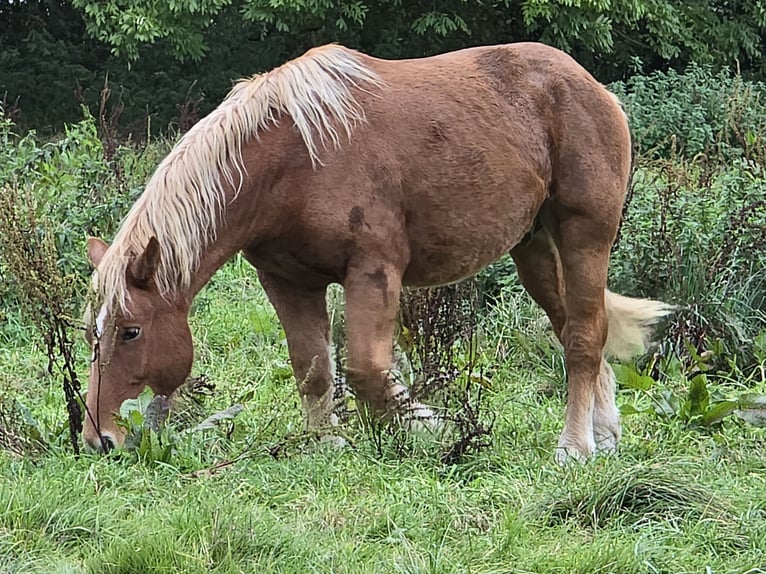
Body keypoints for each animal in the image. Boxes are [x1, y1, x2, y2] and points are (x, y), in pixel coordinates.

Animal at [81, 41, 672, 464]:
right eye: (93, 333)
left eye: (131, 331)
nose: (100, 439)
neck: (294, 159)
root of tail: (593, 88)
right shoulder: (288, 280)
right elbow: (313, 368)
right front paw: (328, 443)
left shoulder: (373, 272)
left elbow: (366, 369)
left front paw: (432, 427)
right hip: (534, 248)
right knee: (576, 325)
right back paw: (604, 436)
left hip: (585, 235)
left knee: (584, 336)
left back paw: (574, 448)